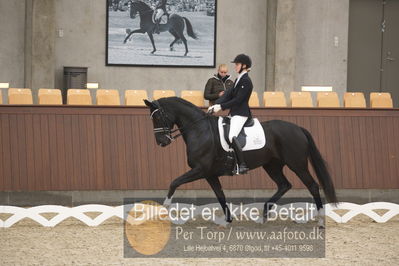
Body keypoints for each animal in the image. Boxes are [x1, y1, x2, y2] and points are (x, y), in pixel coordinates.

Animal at [144, 97, 338, 227]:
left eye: (158, 117)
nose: (162, 142)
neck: (200, 130)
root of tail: (298, 128)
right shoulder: (209, 174)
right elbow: (220, 195)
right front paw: (227, 220)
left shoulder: (200, 170)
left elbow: (174, 182)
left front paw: (165, 207)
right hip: (272, 165)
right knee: (284, 185)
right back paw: (263, 215)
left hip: (297, 164)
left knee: (312, 186)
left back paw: (320, 221)